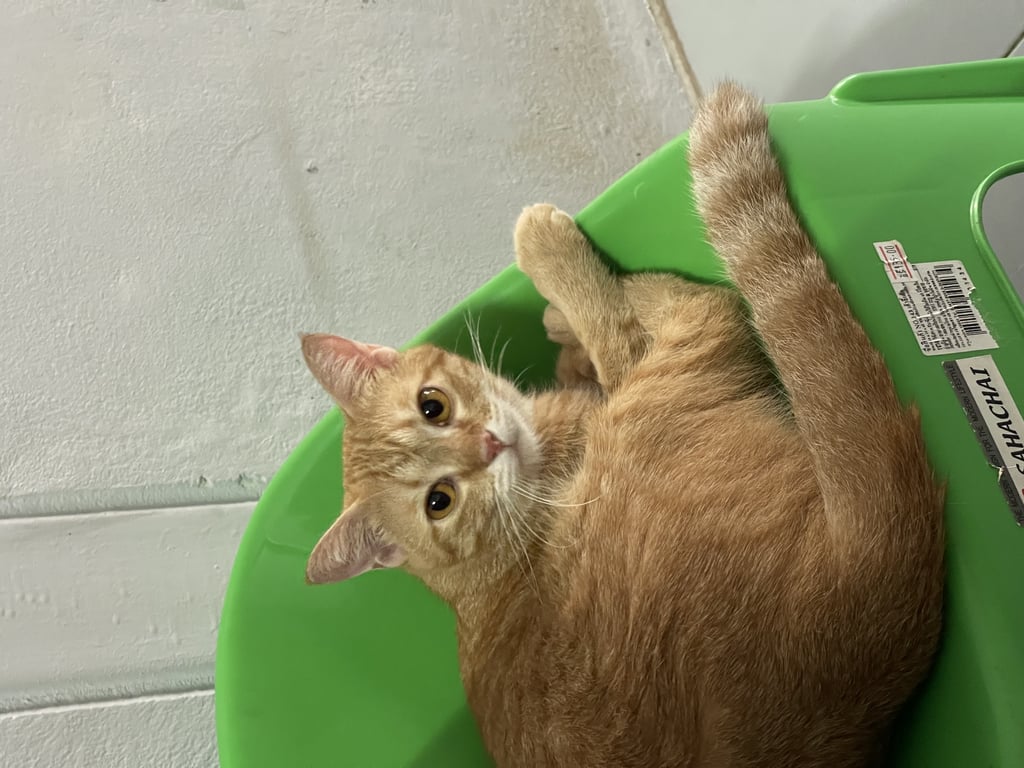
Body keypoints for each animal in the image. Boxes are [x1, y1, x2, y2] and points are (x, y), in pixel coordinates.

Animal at [299, 82, 945, 767]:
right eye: (438, 501)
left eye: (433, 406)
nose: (489, 443)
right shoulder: (632, 368)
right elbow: (615, 315)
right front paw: (556, 266)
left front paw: (560, 332)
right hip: (663, 380)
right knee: (706, 300)